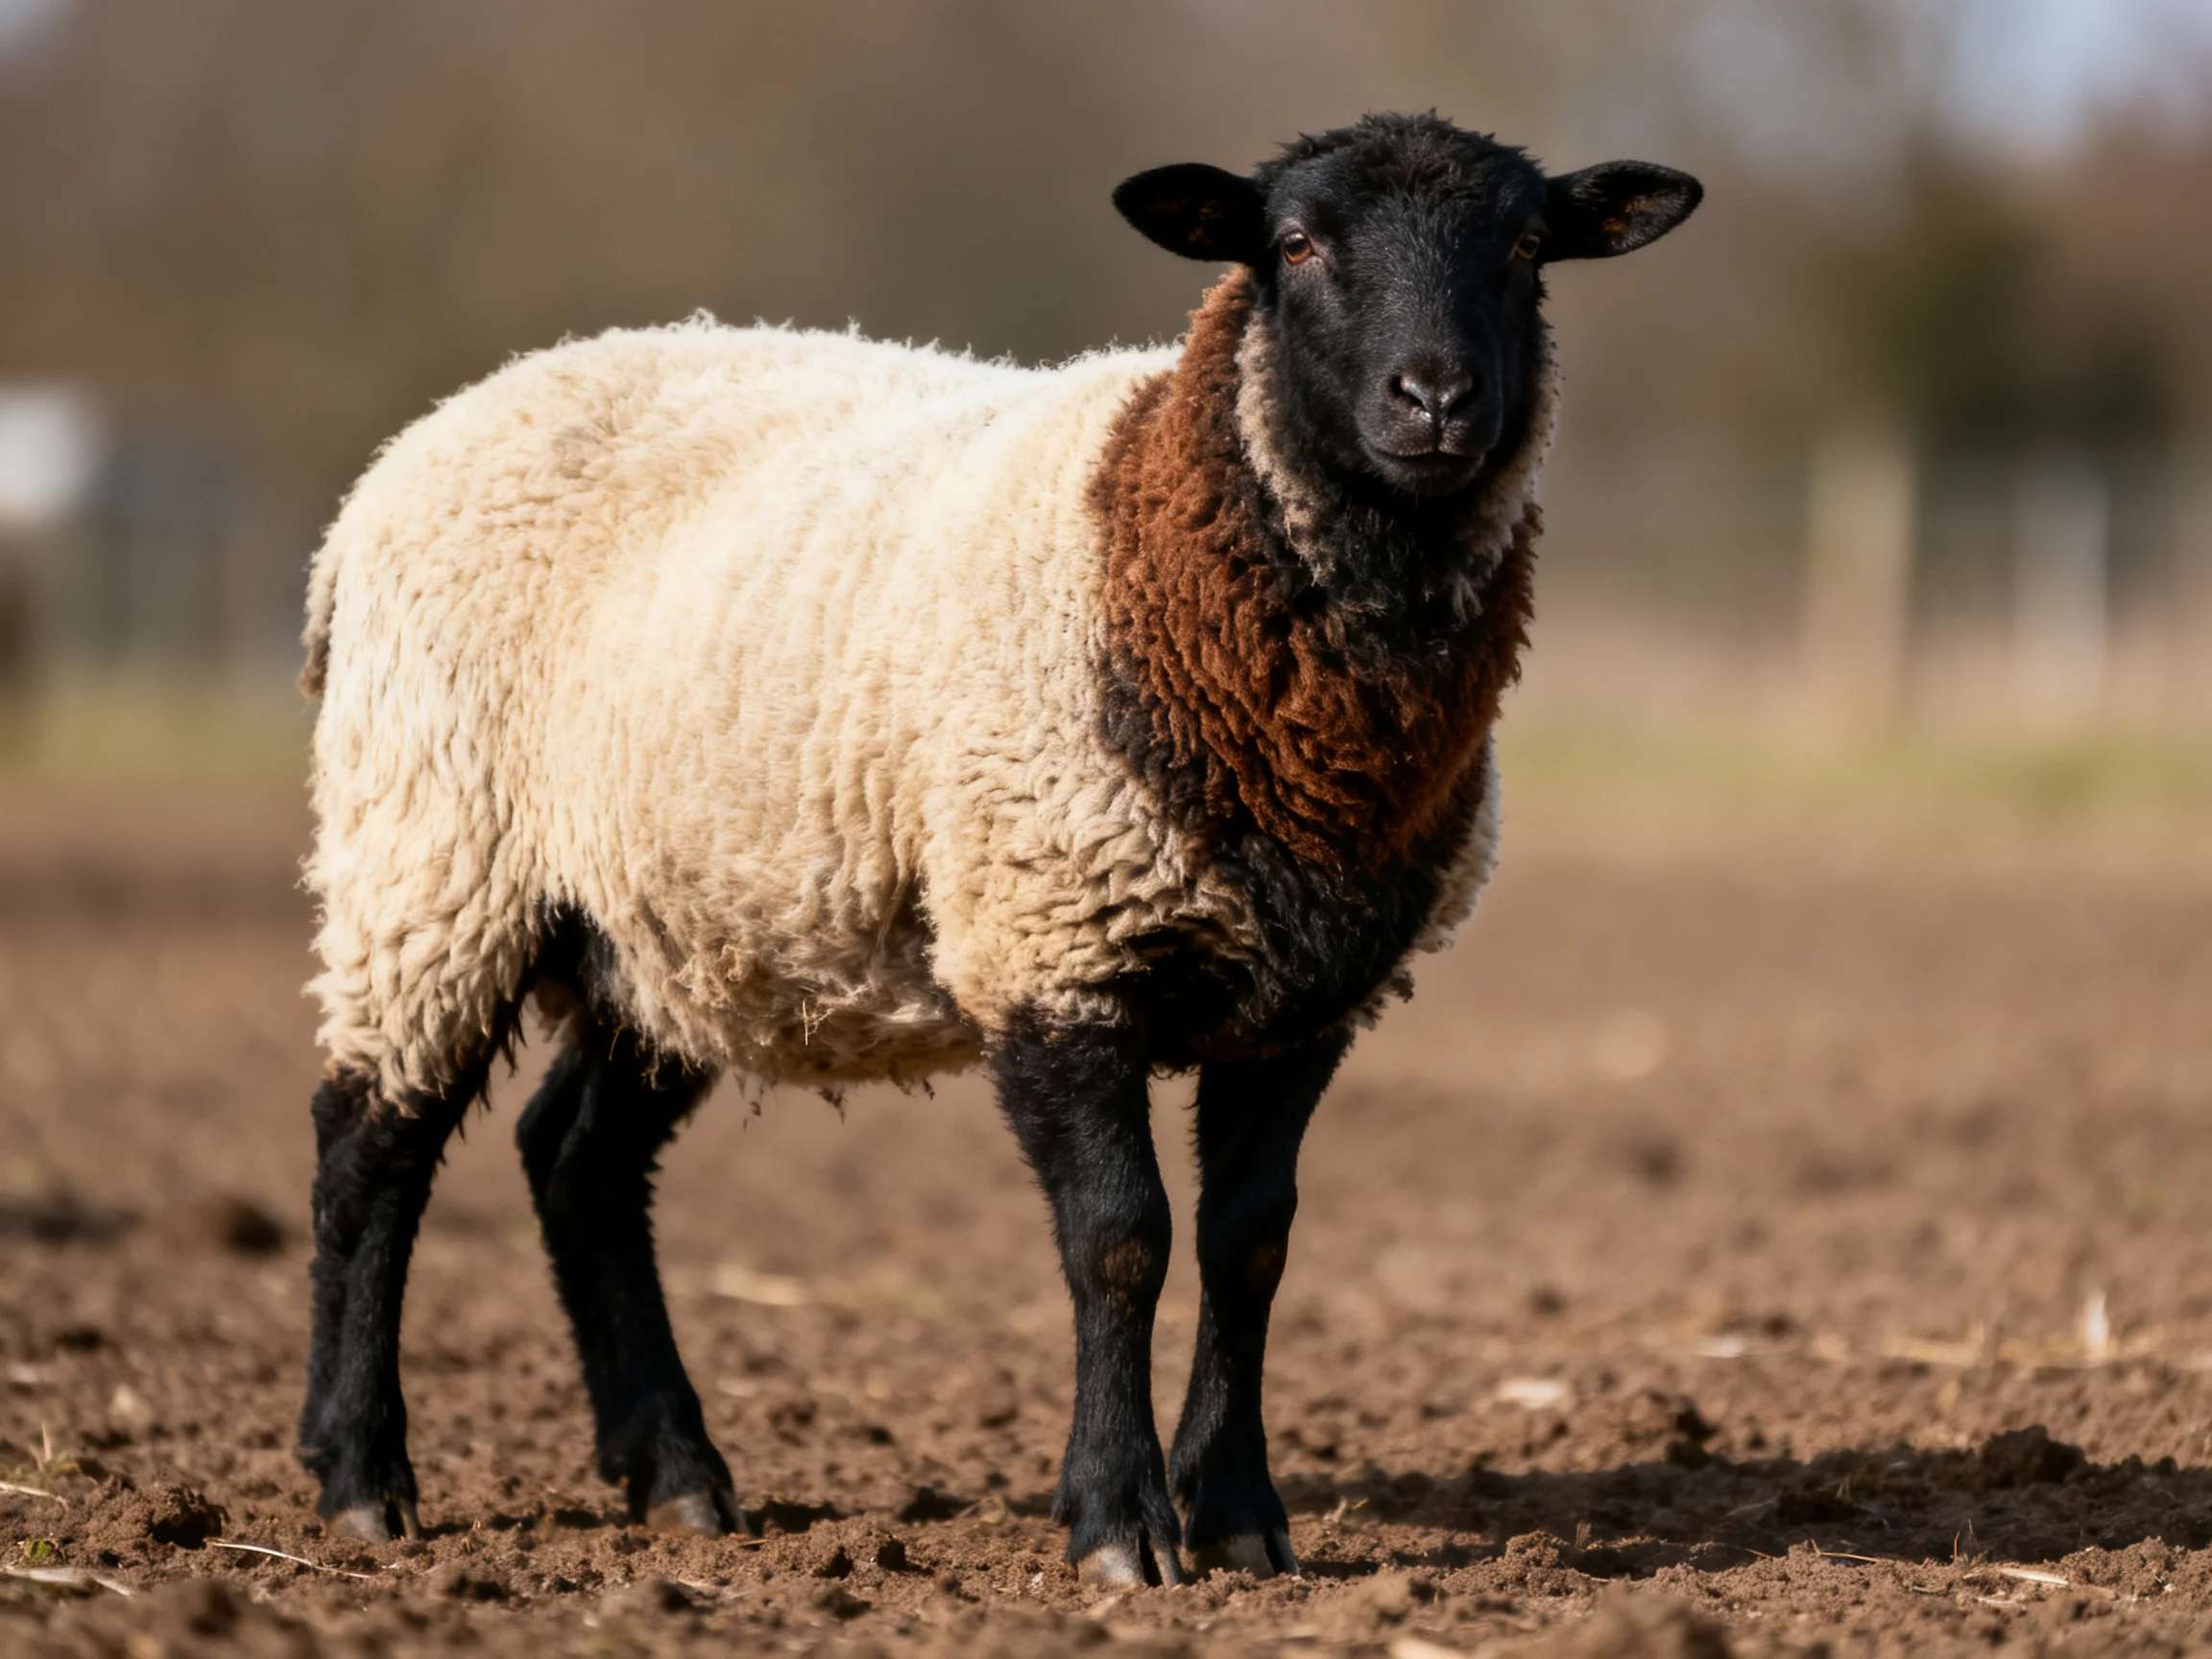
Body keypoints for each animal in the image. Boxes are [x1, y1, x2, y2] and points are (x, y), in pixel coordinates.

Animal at [295, 111, 1700, 1587]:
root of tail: (403, 460)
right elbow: (1121, 1240)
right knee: (369, 1150)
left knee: (577, 1161)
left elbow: (1250, 1243)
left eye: (1529, 247)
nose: (1434, 400)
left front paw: (1240, 1517)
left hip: (666, 925)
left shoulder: (1309, 1000)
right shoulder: (1050, 939)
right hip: (431, 851)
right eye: (1297, 244)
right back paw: (362, 1478)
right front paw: (1122, 1526)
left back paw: (674, 1476)